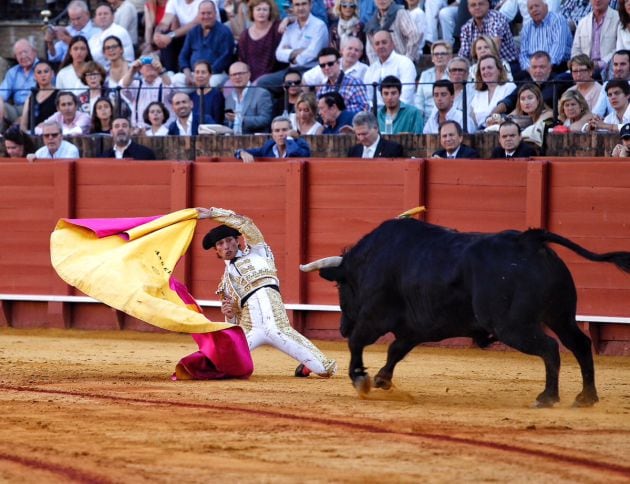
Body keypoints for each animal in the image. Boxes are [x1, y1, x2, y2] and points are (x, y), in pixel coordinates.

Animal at [302, 220, 630, 408]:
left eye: (340, 287)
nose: (341, 327)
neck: (369, 260)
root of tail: (529, 241)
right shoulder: (415, 328)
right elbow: (396, 349)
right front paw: (382, 379)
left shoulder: (374, 317)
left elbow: (358, 343)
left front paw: (361, 378)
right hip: (561, 316)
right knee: (580, 344)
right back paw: (586, 397)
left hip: (513, 326)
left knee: (550, 348)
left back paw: (548, 397)